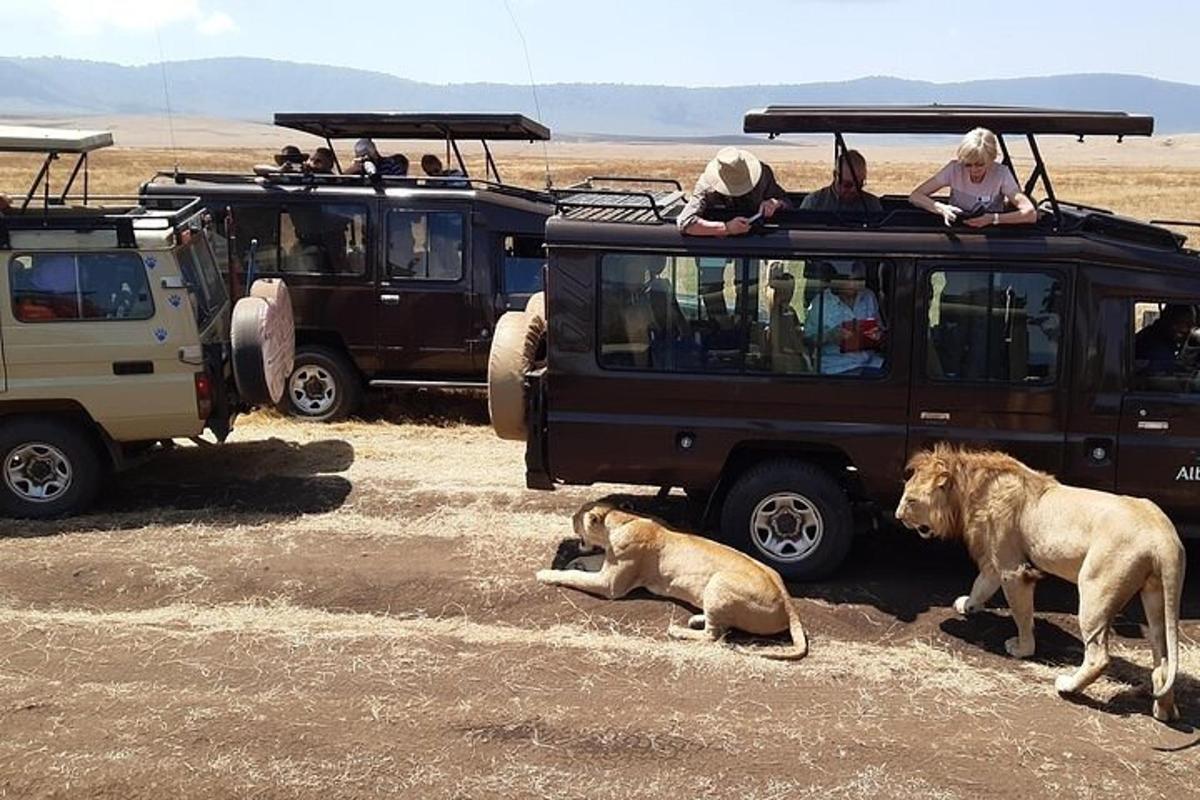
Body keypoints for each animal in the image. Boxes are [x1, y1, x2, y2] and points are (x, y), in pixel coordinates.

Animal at [540, 496, 811, 662]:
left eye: (577, 516)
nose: (570, 517)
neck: (621, 520)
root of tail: (789, 604)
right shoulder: (608, 565)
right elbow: (587, 564)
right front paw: (574, 561)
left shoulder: (611, 585)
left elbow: (576, 577)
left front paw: (546, 573)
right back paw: (696, 618)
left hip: (719, 582)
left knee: (714, 636)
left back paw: (678, 630)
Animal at [897, 448, 1185, 724]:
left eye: (910, 500)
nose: (898, 516)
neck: (971, 487)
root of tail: (1164, 537)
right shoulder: (995, 559)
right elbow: (982, 583)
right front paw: (967, 604)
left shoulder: (1013, 569)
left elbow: (1022, 614)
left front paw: (1023, 649)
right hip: (1156, 595)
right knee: (1163, 657)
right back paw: (1164, 710)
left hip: (1095, 588)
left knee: (1098, 656)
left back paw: (1067, 686)